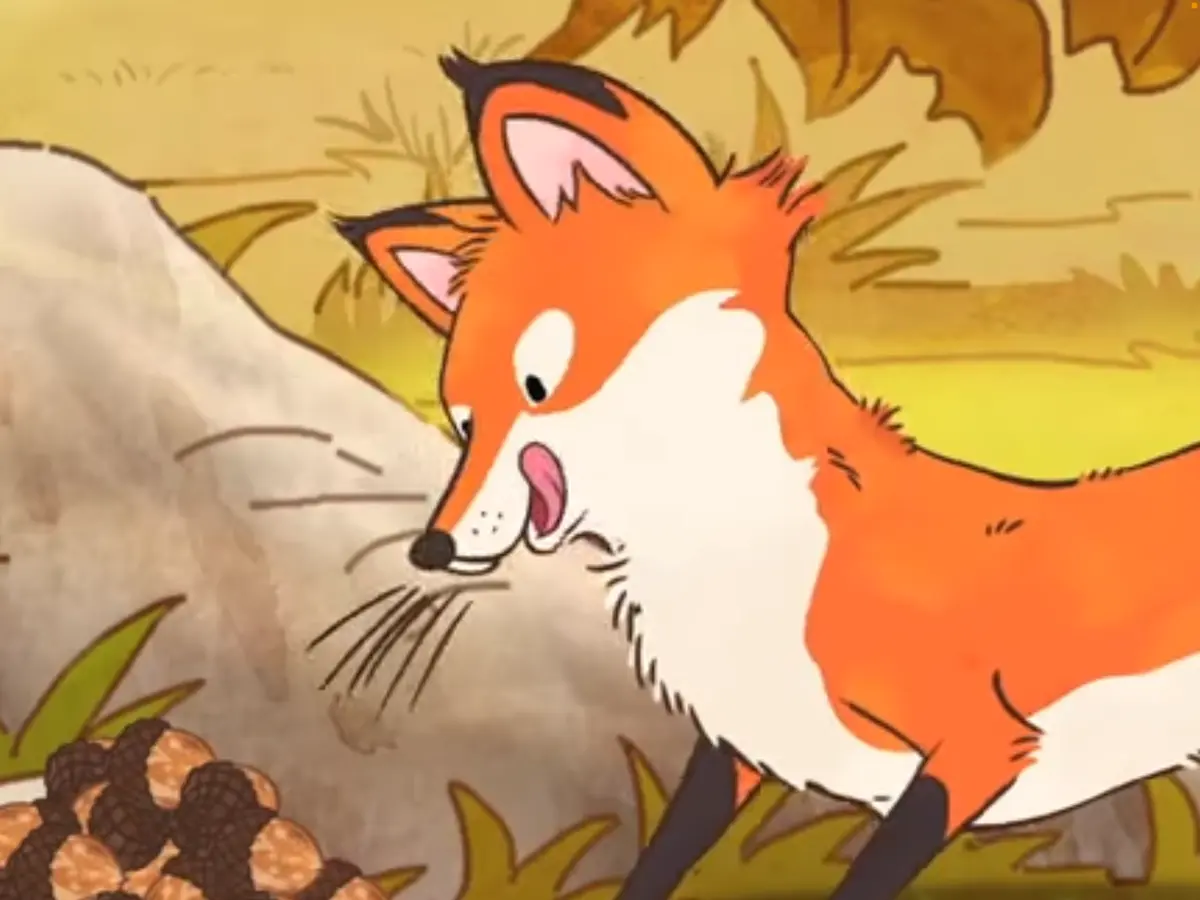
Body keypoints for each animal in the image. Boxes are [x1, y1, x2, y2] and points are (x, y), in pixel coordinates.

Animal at [334, 51, 1200, 900]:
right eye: (464, 422)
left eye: (537, 385)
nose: (431, 550)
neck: (743, 554)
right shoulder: (733, 749)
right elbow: (660, 861)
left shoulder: (979, 745)